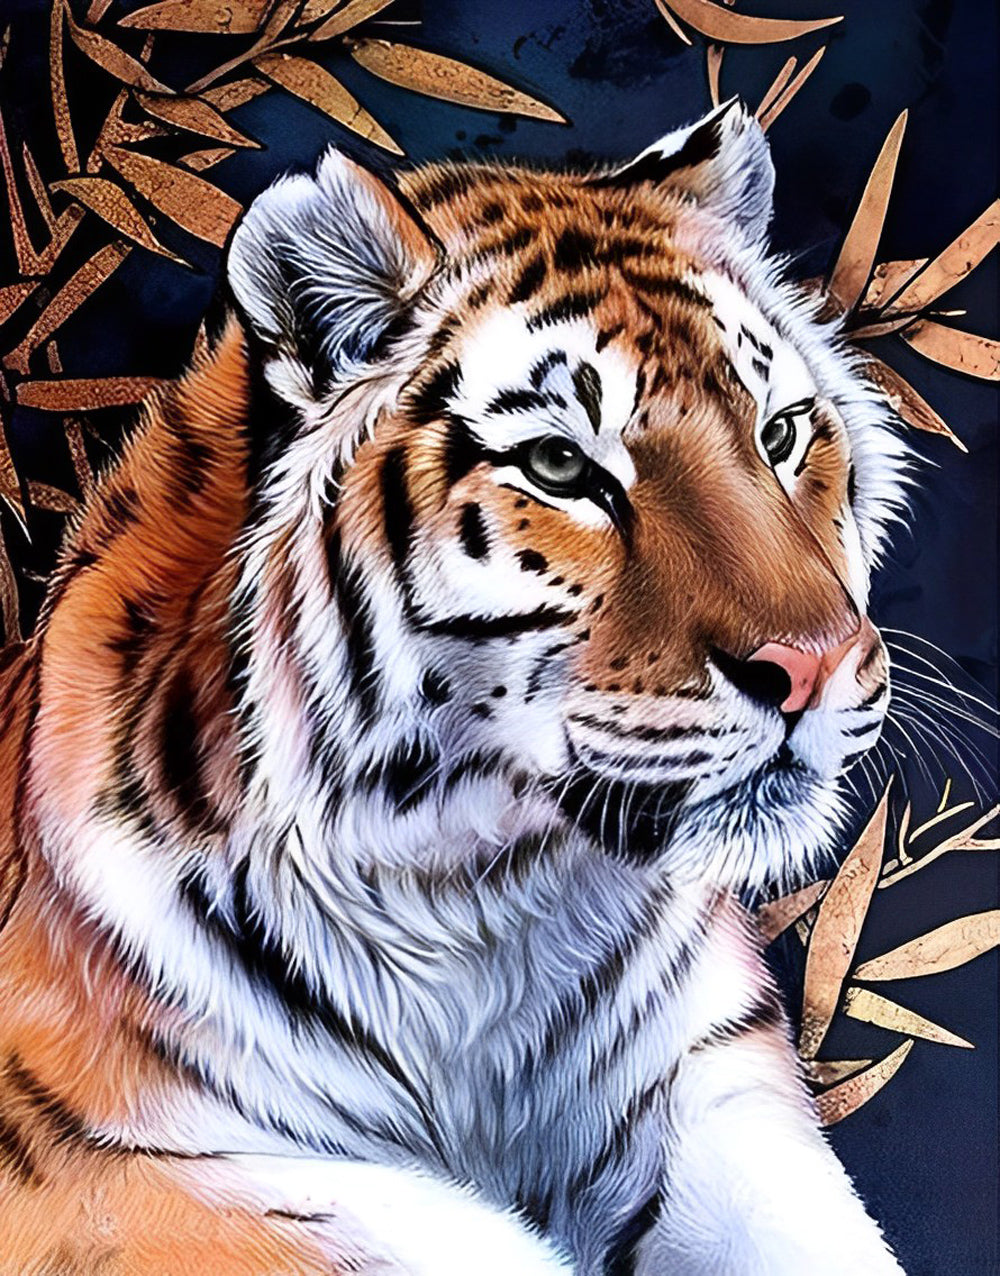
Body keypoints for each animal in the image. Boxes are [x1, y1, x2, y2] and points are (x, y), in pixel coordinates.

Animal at [0, 98, 910, 1274]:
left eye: (781, 432)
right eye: (561, 468)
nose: (817, 663)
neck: (482, 901)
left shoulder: (711, 1082)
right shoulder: (117, 1168)